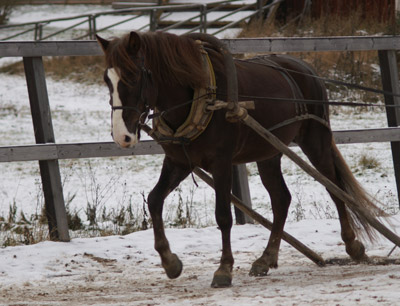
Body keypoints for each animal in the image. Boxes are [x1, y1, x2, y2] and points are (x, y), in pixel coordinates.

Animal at [96, 31, 382, 286]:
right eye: (107, 80)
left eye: (132, 76)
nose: (122, 136)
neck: (200, 93)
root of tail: (305, 68)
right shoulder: (179, 161)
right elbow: (154, 200)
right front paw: (170, 262)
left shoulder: (221, 163)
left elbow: (223, 216)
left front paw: (224, 269)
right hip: (269, 152)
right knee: (281, 199)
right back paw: (266, 259)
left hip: (316, 140)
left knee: (334, 188)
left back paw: (352, 245)